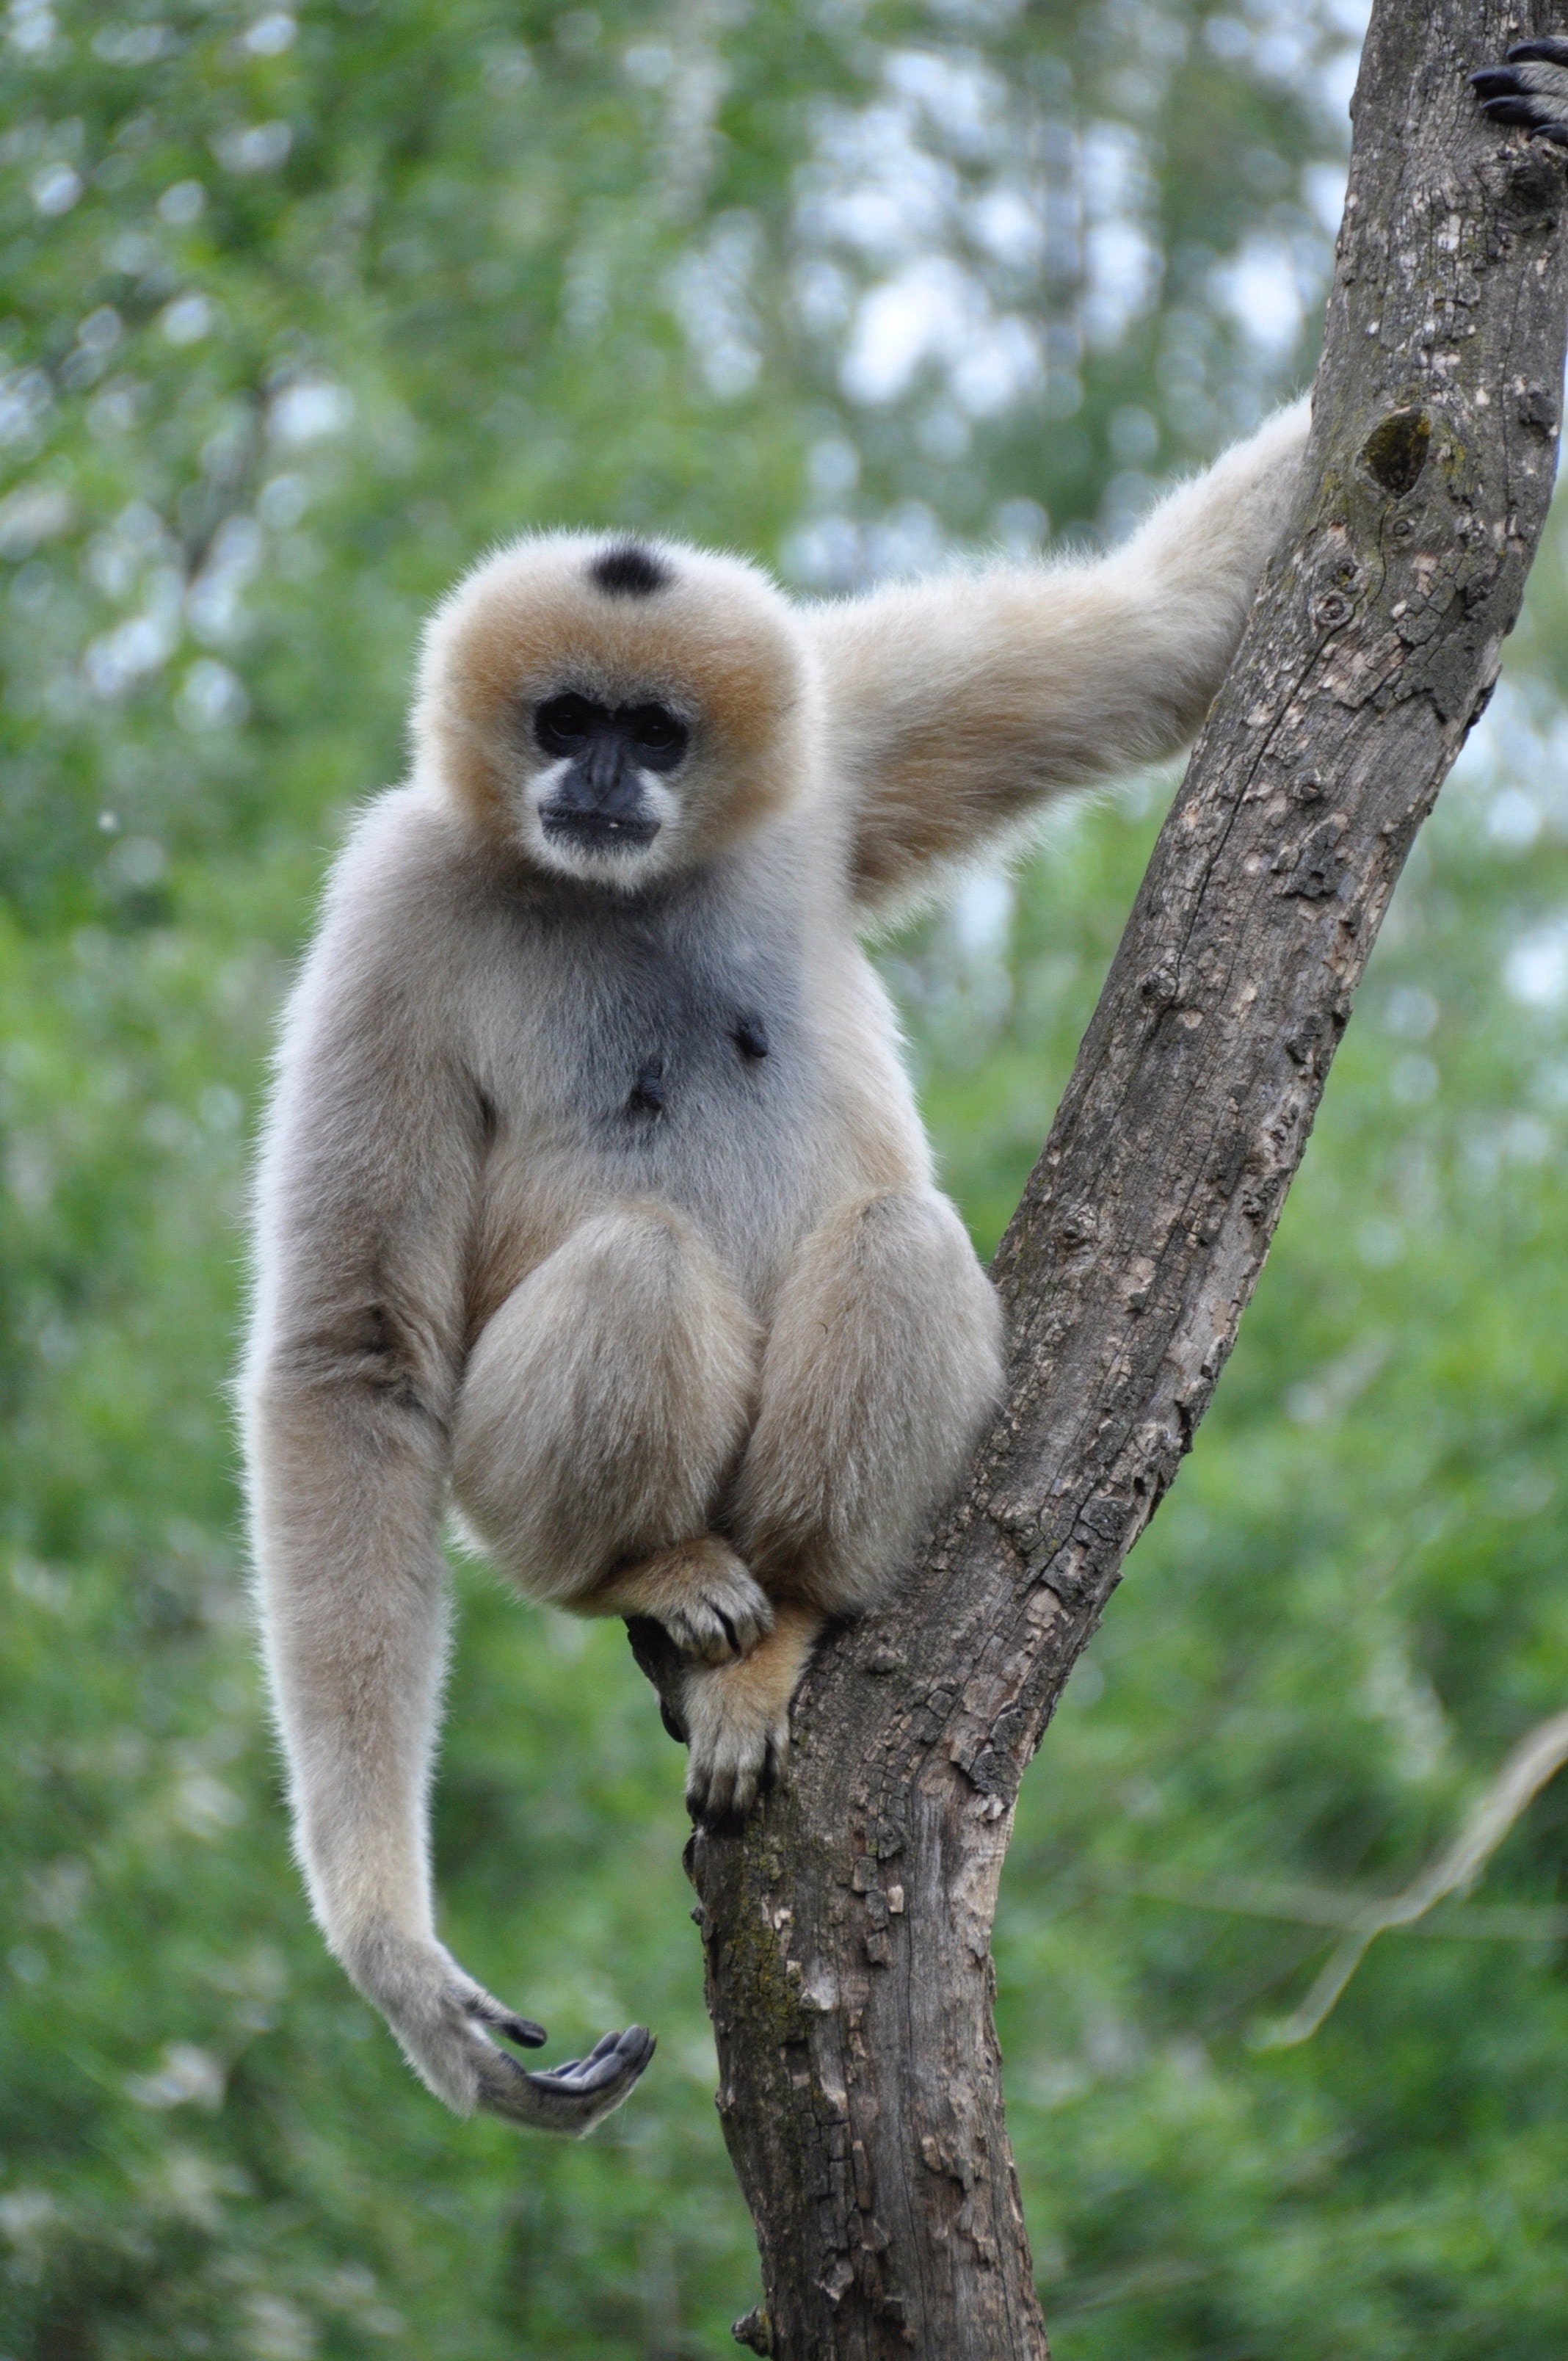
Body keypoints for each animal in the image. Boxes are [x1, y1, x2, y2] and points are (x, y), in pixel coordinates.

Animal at [243, 395, 1313, 2132]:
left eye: (657, 734)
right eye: (565, 719)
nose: (602, 774)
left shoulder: (835, 736)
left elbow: (1171, 629)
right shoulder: (390, 903)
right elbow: (350, 1356)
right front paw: (392, 1953)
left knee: (896, 1235)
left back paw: (794, 1616)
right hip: (503, 1497)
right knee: (634, 1255)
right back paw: (649, 1570)